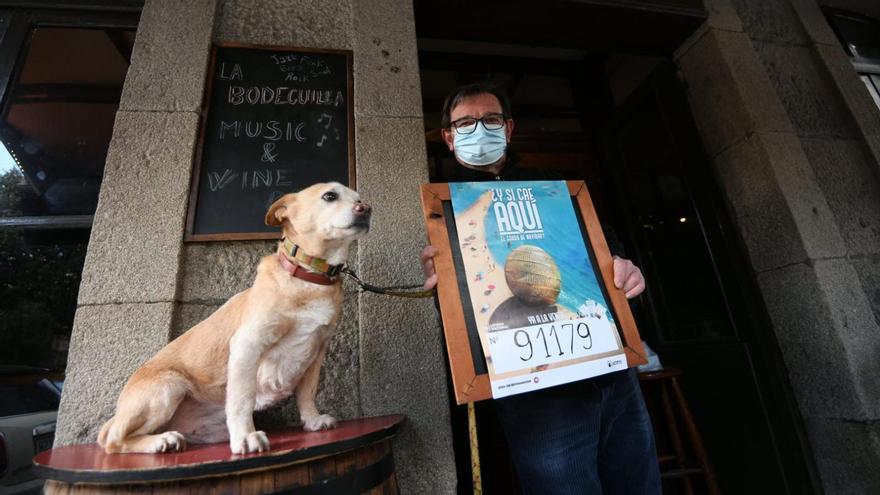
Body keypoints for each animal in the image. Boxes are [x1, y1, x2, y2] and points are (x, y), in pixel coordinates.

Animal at [98, 184, 370, 456]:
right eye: (329, 196)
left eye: (359, 198)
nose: (366, 209)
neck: (310, 277)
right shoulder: (247, 345)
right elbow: (242, 398)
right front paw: (246, 437)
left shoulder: (316, 350)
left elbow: (307, 391)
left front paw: (312, 420)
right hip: (168, 387)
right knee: (114, 440)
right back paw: (161, 441)